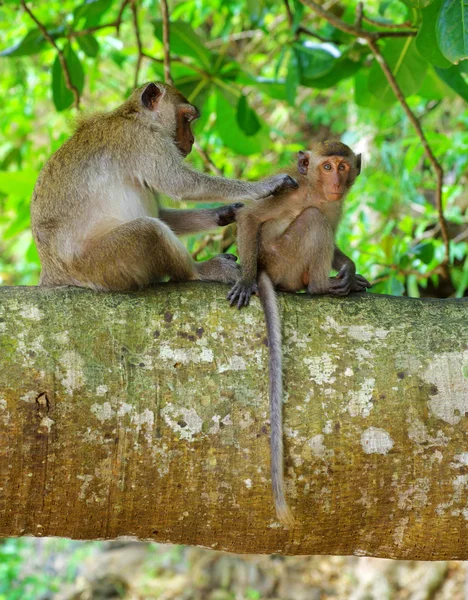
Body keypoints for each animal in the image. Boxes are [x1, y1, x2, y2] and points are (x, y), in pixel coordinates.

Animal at [31, 82, 298, 290]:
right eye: (186, 118)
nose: (192, 140)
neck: (134, 115)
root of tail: (53, 273)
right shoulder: (141, 140)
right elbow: (181, 184)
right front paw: (264, 187)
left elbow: (163, 211)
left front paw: (223, 213)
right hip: (97, 265)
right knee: (149, 230)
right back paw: (199, 270)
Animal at [229, 143, 372, 528]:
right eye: (326, 167)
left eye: (342, 166)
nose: (336, 181)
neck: (317, 192)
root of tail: (266, 267)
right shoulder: (292, 193)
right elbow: (249, 216)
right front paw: (244, 279)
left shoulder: (335, 204)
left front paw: (349, 267)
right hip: (285, 259)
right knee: (313, 221)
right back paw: (320, 286)